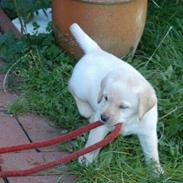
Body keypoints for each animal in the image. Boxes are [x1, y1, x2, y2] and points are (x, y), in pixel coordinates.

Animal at [68, 22, 163, 173]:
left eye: (123, 106)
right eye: (106, 98)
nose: (103, 117)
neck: (128, 120)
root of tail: (95, 50)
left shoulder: (148, 131)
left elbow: (152, 151)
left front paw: (156, 170)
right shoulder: (100, 125)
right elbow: (94, 142)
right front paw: (86, 159)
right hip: (80, 87)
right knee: (71, 88)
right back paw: (88, 112)